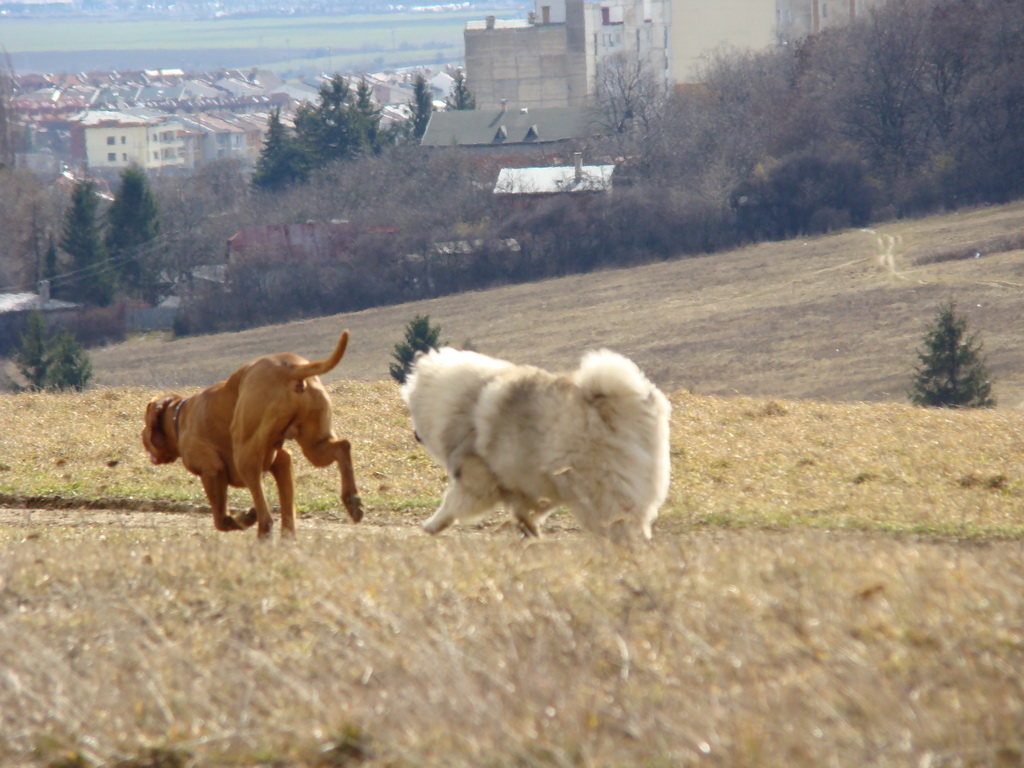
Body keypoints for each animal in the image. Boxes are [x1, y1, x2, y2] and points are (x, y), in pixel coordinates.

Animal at [140, 331, 364, 540]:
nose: (142, 434)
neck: (179, 416)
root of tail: (291, 367)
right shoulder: (282, 462)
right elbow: (287, 510)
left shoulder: (211, 470)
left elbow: (220, 519)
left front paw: (242, 518)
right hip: (315, 446)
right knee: (342, 446)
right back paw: (352, 500)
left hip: (245, 458)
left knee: (266, 517)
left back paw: (261, 535)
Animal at [399, 348, 671, 540]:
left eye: (411, 408)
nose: (415, 434)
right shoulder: (527, 480)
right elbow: (527, 509)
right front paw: (529, 529)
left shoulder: (475, 475)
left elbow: (452, 503)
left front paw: (430, 525)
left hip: (593, 483)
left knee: (616, 518)